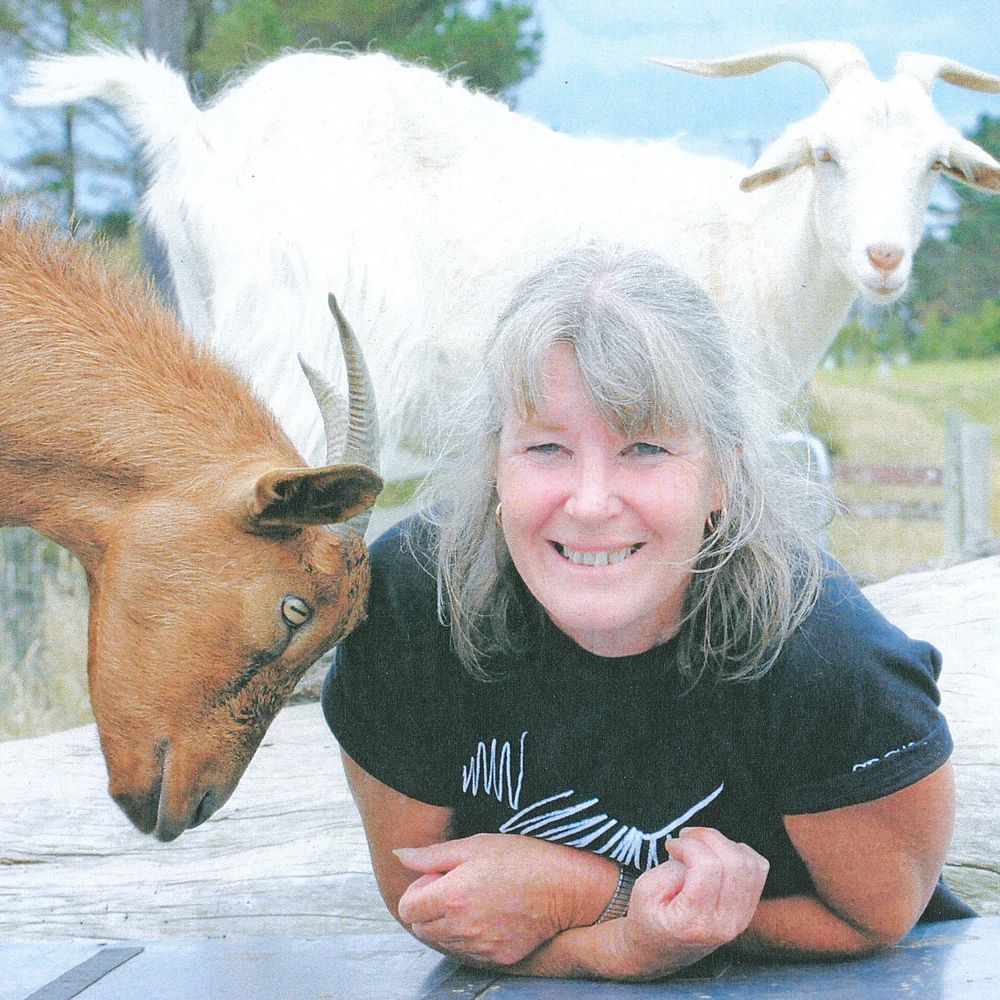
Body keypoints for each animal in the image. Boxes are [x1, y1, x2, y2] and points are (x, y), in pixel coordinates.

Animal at [14, 41, 1000, 471]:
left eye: (934, 164)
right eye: (827, 153)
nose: (883, 257)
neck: (754, 249)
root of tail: (201, 138)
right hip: (302, 346)